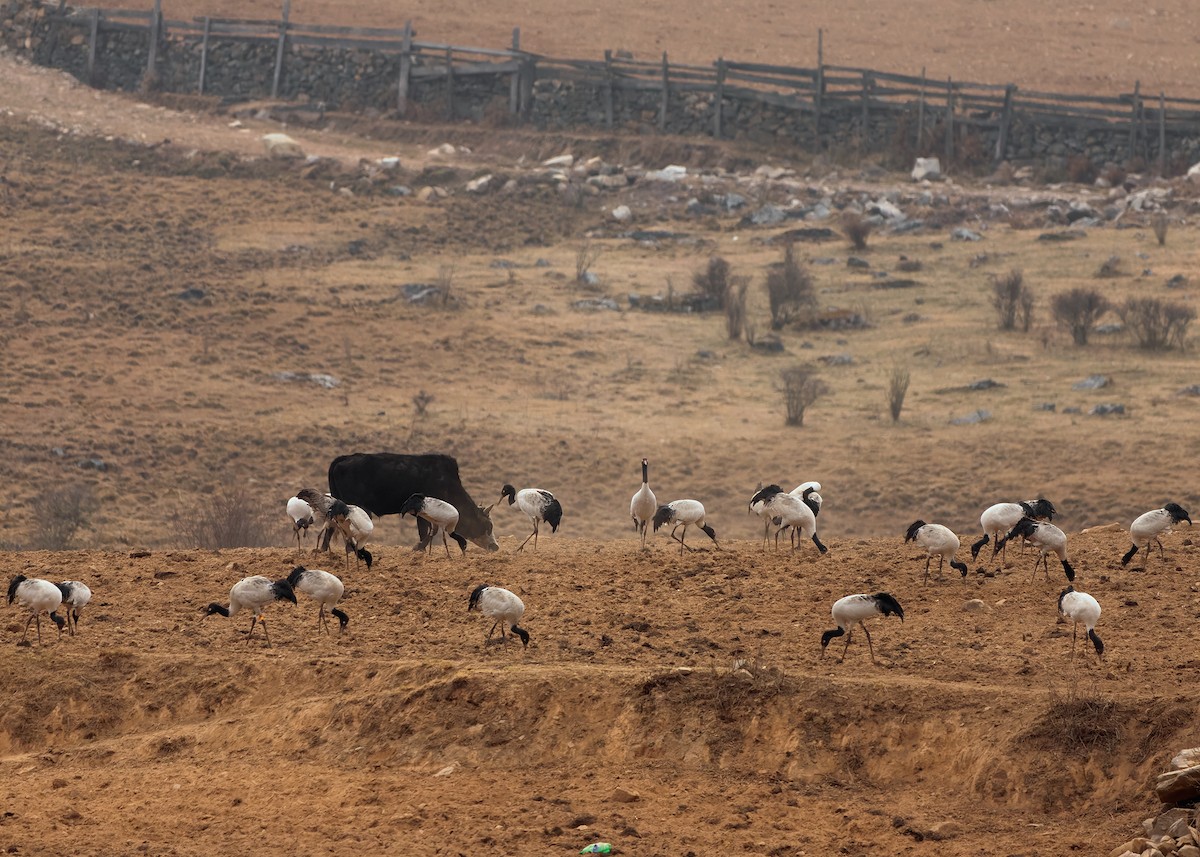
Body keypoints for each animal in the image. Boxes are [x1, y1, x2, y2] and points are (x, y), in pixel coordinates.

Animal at [326, 451, 499, 549]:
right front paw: (418, 548)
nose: (495, 547)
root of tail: (343, 460)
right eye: (487, 526)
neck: (446, 483)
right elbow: (427, 532)